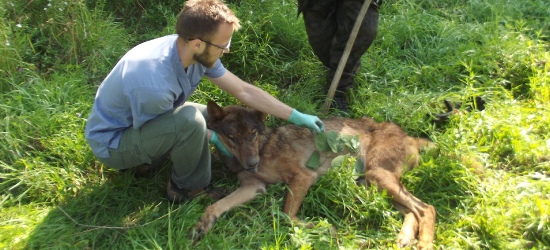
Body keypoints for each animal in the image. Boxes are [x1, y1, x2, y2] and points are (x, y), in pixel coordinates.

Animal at [192, 101, 438, 248]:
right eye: (232, 138)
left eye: (253, 133)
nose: (252, 164)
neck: (264, 147)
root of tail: (408, 136)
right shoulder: (253, 187)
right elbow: (215, 206)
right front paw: (202, 224)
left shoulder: (303, 178)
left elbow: (287, 216)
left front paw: (324, 227)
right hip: (370, 185)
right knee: (412, 211)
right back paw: (405, 238)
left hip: (377, 178)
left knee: (426, 209)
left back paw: (424, 243)